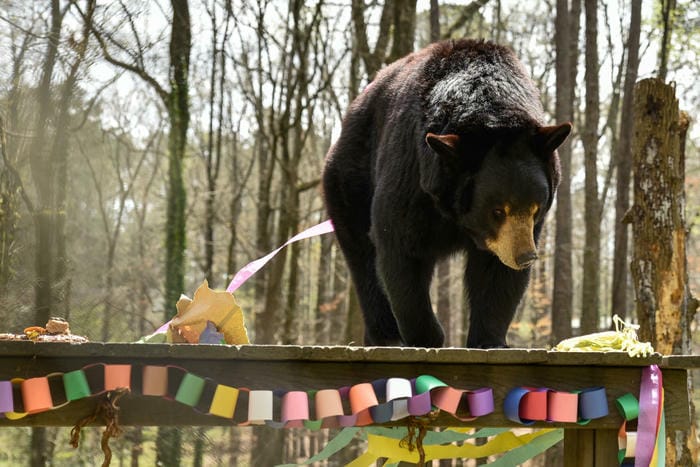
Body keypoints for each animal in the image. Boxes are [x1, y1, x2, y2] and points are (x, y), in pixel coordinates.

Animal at [322, 40, 568, 348]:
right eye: (497, 210)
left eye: (536, 208)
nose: (525, 257)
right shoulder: (413, 173)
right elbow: (400, 247)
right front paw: (427, 336)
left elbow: (496, 275)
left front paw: (489, 339)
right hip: (349, 182)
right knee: (363, 258)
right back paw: (386, 335)